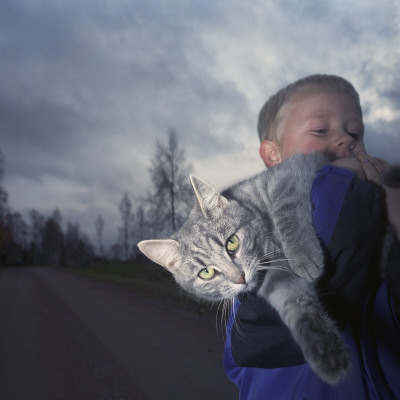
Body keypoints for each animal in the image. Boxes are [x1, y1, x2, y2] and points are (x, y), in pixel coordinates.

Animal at [138, 153, 350, 384]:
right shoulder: (274, 278)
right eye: (206, 273)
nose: (240, 278)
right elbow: (297, 303)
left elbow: (284, 206)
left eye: (232, 242)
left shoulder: (290, 172)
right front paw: (324, 348)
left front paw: (304, 254)